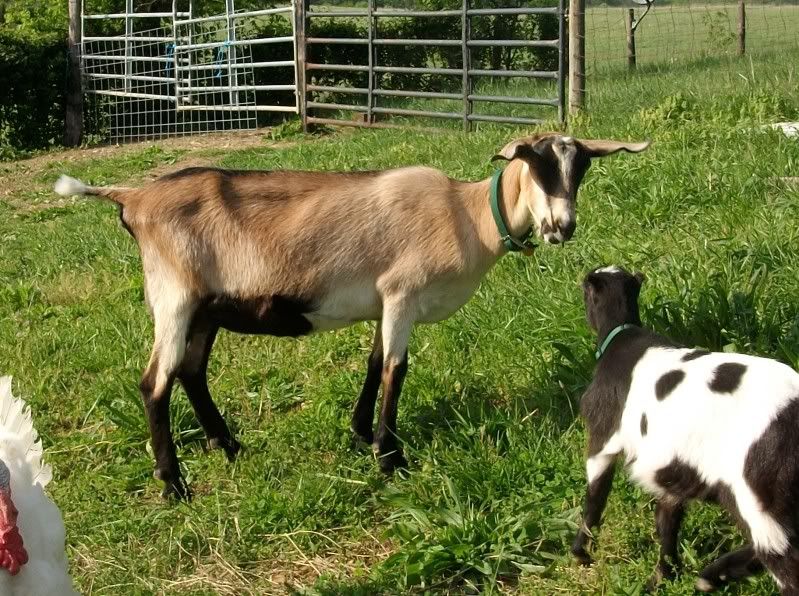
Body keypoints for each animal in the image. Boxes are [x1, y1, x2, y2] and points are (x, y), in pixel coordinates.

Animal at [54, 133, 649, 500]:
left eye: (581, 168)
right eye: (537, 164)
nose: (561, 228)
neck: (467, 215)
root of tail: (133, 197)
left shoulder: (385, 303)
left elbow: (373, 361)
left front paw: (362, 433)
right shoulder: (403, 292)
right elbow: (395, 370)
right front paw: (390, 458)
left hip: (205, 308)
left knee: (191, 371)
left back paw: (229, 446)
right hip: (173, 296)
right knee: (155, 381)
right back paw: (174, 485)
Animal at [572, 266, 799, 595]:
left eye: (585, 289)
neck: (622, 337)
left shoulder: (603, 436)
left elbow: (595, 495)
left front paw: (580, 552)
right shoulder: (669, 463)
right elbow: (667, 521)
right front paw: (662, 576)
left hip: (761, 497)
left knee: (783, 556)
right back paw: (714, 575)